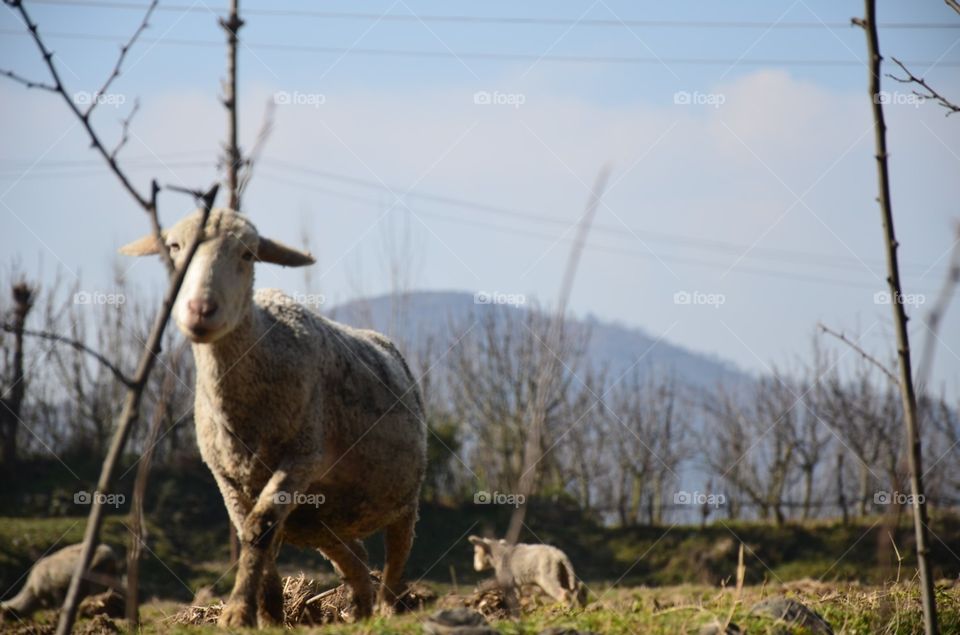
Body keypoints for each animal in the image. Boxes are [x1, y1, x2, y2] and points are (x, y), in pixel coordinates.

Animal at [120, 209, 427, 627]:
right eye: (175, 247)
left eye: (248, 254)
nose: (200, 310)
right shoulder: (226, 475)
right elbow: (249, 532)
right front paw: (265, 614)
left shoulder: (302, 456)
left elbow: (260, 529)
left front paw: (238, 612)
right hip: (322, 519)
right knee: (355, 558)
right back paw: (360, 611)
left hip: (402, 500)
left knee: (396, 555)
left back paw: (385, 610)